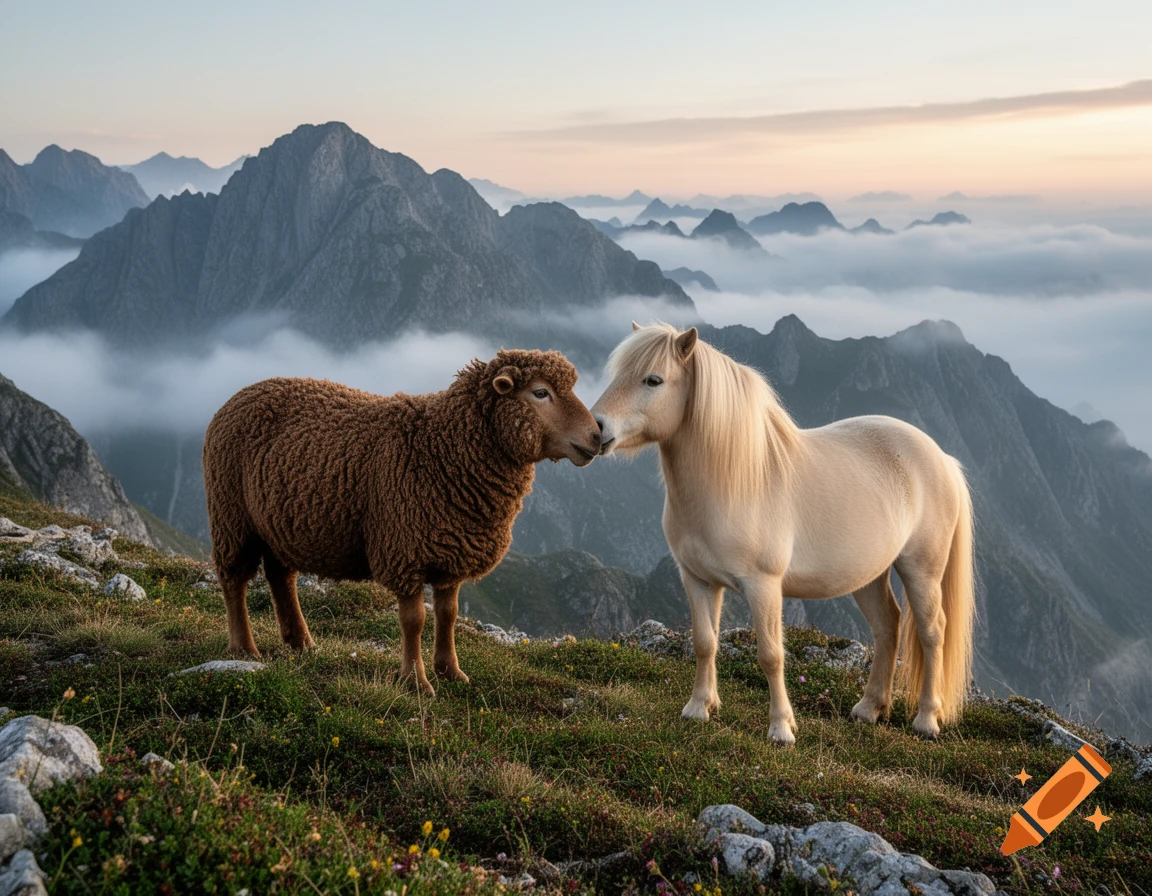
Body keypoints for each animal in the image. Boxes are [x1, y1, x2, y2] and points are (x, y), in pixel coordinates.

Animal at [202, 349, 601, 694]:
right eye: (540, 392)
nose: (598, 437)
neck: (441, 447)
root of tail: (237, 396)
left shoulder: (451, 550)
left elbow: (448, 615)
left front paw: (451, 671)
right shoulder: (405, 551)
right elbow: (415, 621)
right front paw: (416, 681)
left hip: (277, 524)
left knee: (280, 576)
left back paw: (301, 642)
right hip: (232, 516)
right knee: (233, 579)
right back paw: (244, 647)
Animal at [590, 322, 975, 744]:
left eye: (653, 380)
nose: (595, 429)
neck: (733, 481)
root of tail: (942, 457)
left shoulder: (764, 586)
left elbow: (771, 655)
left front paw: (781, 728)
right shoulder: (698, 580)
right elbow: (705, 642)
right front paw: (698, 708)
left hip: (922, 570)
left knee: (931, 632)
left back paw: (927, 720)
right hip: (869, 575)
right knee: (887, 625)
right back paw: (869, 709)